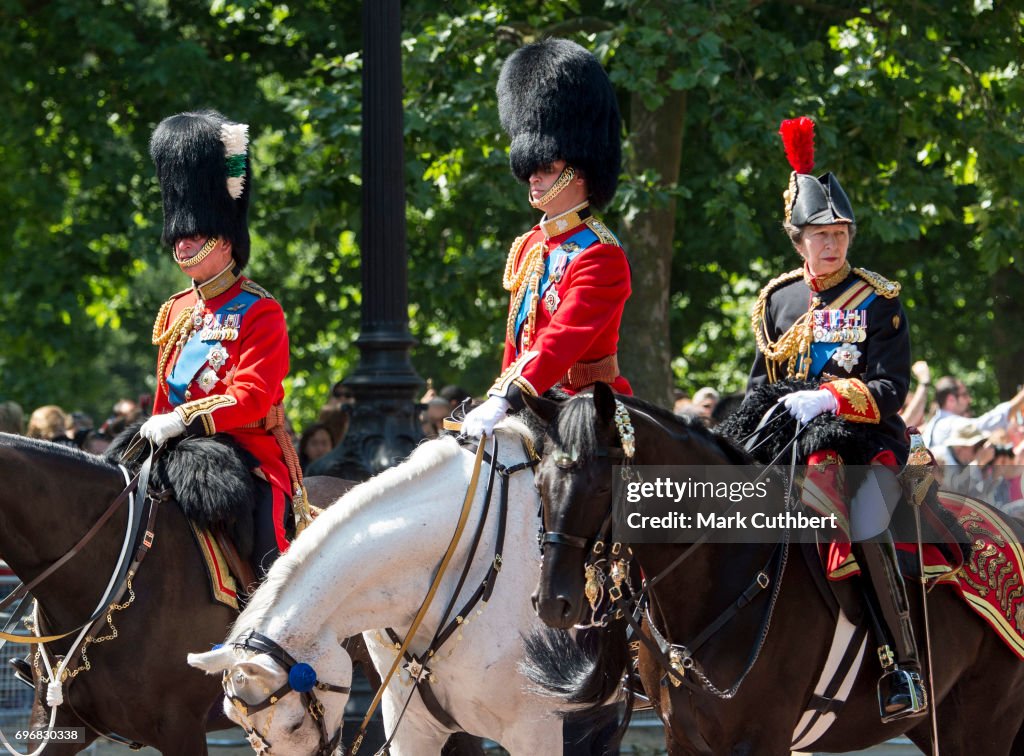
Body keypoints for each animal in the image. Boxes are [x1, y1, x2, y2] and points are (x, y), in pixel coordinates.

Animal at [524, 385, 1024, 753]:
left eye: (601, 483)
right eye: (539, 481)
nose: (553, 602)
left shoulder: (761, 739)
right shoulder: (682, 738)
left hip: (985, 723)